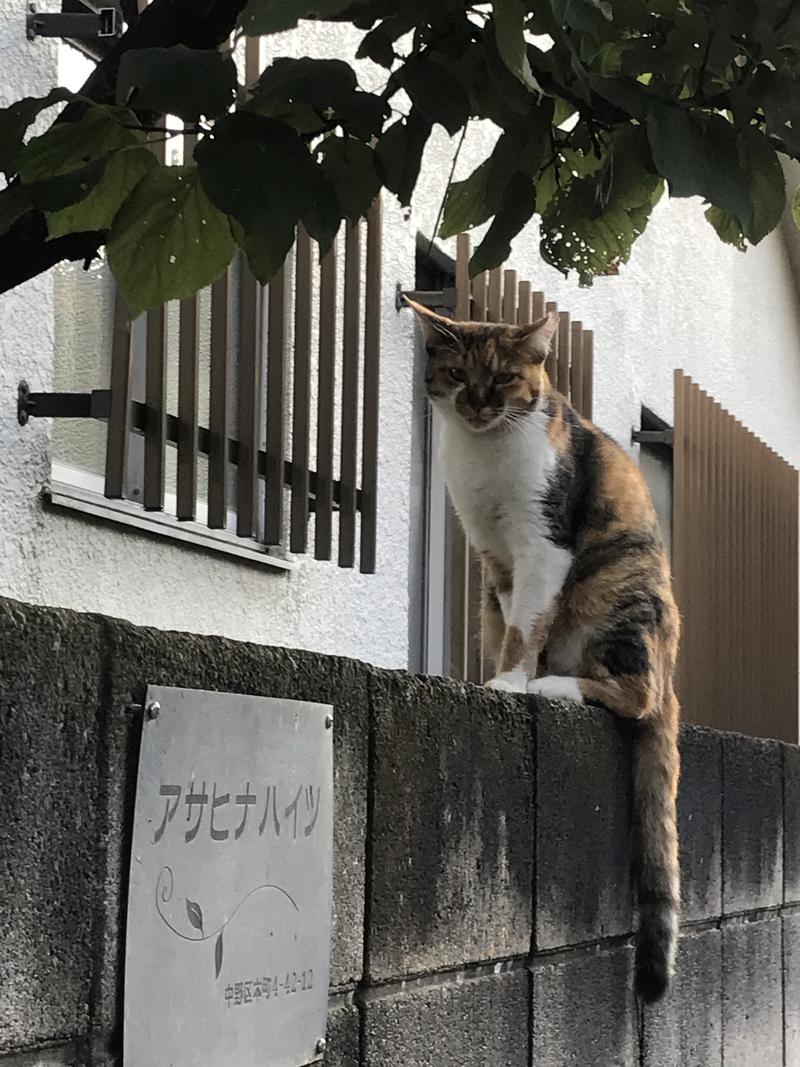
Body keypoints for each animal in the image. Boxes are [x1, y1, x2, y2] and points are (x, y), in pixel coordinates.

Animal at [409, 296, 678, 1002]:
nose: (478, 404)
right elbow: (510, 621)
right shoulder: (494, 557)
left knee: (637, 696)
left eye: (504, 378)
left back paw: (552, 684)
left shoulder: (543, 540)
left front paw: (508, 682)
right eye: (456, 373)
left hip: (621, 592)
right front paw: (503, 670)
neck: (486, 453)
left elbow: (528, 622)